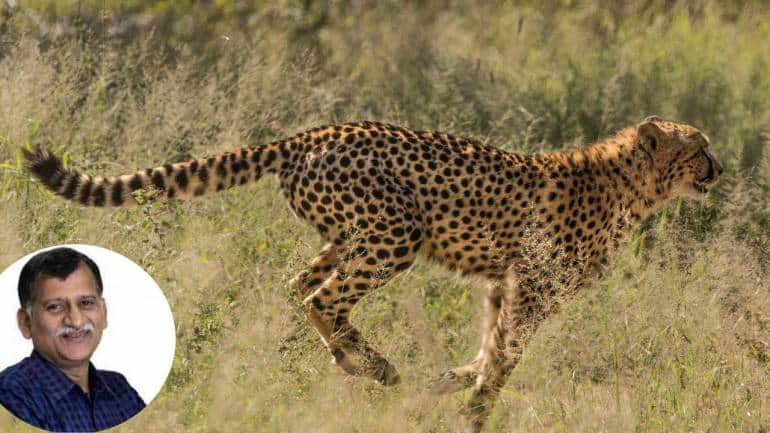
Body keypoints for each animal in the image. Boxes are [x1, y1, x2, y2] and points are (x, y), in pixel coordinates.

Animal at [23, 115, 722, 432]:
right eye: (700, 147)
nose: (720, 168)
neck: (635, 184)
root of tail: (315, 131)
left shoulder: (504, 284)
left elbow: (490, 344)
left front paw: (452, 384)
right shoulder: (533, 287)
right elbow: (505, 355)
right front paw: (475, 407)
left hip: (346, 236)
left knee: (298, 286)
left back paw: (354, 360)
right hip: (394, 234)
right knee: (325, 297)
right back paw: (376, 366)